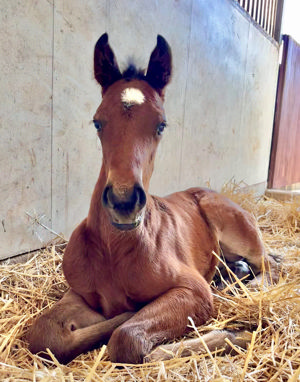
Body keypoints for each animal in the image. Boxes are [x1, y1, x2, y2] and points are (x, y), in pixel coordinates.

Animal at [27, 32, 276, 364]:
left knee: (269, 266)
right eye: (97, 122)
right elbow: (45, 336)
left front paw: (235, 334)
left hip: (240, 236)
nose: (123, 203)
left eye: (161, 124)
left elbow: (128, 339)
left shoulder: (193, 290)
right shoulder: (81, 294)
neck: (114, 250)